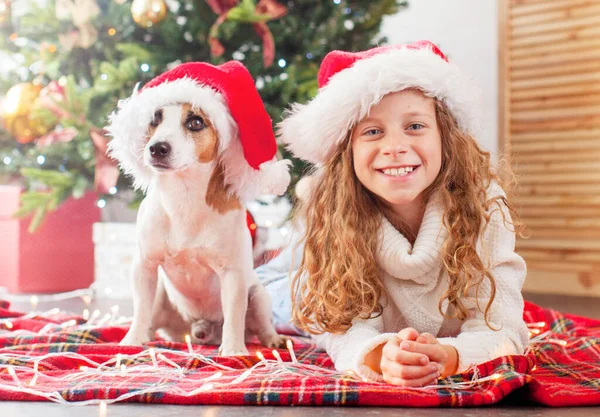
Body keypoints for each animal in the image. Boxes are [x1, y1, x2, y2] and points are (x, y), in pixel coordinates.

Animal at [106, 61, 292, 354]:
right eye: (154, 119)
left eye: (196, 122)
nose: (157, 148)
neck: (183, 198)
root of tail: (199, 330)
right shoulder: (145, 266)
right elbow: (140, 309)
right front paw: (131, 341)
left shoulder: (233, 275)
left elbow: (234, 314)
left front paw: (233, 350)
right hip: (161, 293)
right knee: (150, 317)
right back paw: (147, 335)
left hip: (258, 295)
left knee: (260, 326)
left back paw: (272, 339)